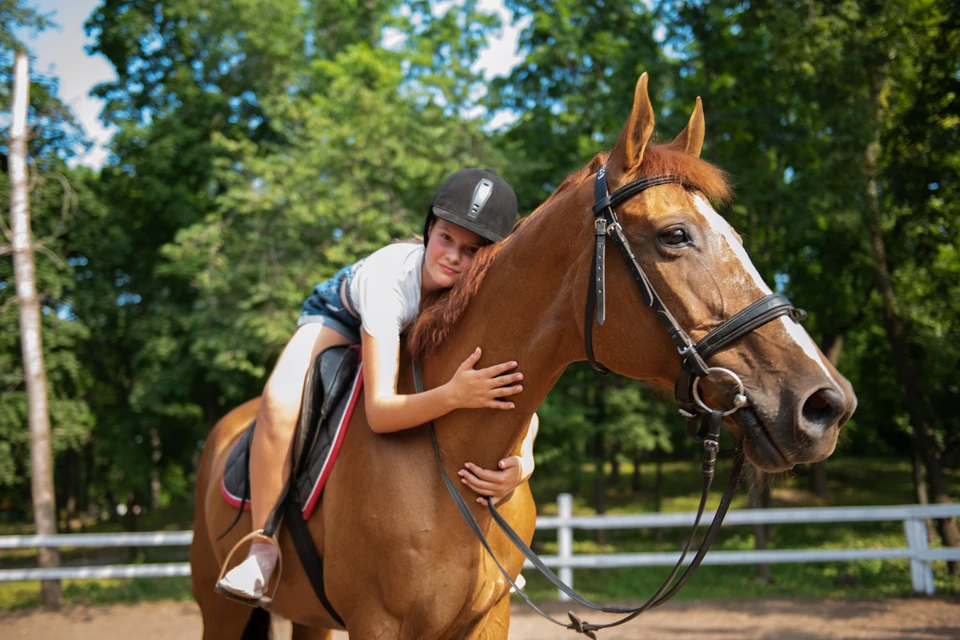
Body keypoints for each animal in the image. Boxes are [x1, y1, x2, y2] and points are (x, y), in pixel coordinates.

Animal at [188, 72, 856, 636]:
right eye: (675, 236)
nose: (826, 404)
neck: (451, 456)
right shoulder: (378, 624)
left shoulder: (488, 619)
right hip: (221, 608)